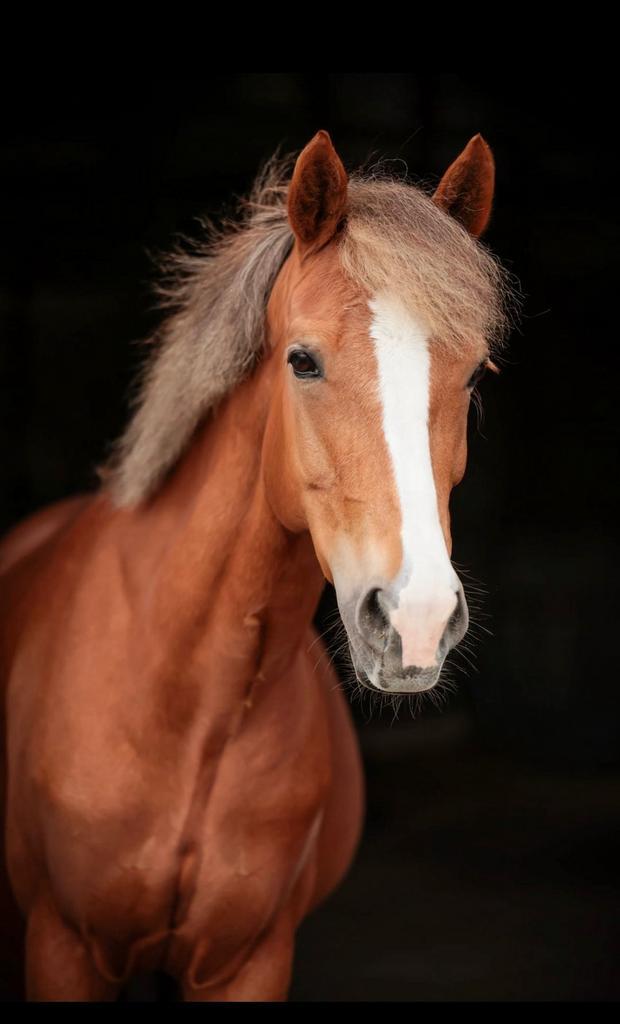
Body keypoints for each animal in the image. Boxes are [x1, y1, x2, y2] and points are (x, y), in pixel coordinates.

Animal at [0, 130, 509, 1001]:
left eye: (473, 371)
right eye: (302, 361)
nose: (415, 619)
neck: (191, 710)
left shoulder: (251, 960)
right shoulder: (61, 948)